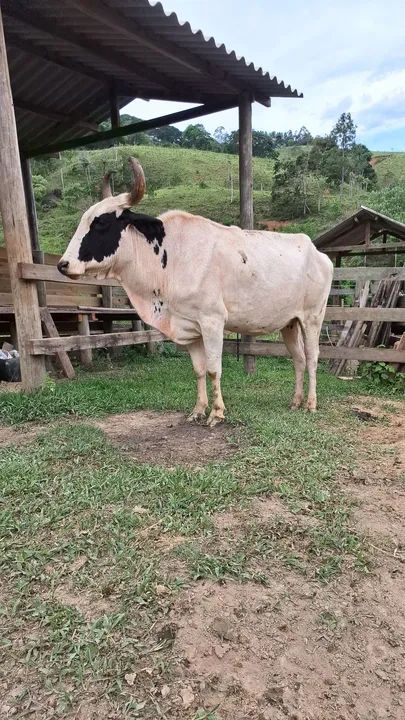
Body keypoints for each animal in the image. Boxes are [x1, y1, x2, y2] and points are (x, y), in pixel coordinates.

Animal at [58, 158, 333, 427]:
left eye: (101, 222)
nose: (63, 264)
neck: (171, 258)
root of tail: (318, 252)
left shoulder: (213, 321)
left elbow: (213, 369)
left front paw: (217, 413)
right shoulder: (188, 327)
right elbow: (199, 370)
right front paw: (198, 410)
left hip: (312, 318)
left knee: (312, 357)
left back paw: (310, 404)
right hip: (289, 322)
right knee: (298, 358)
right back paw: (295, 401)